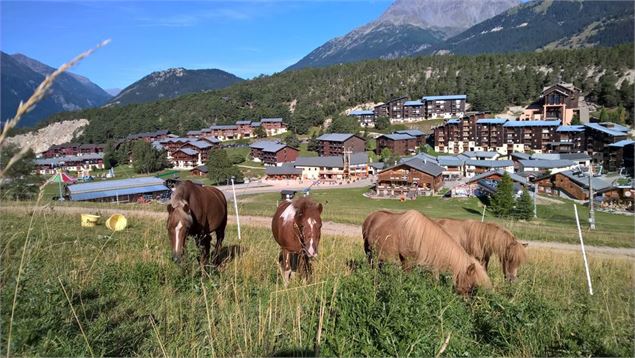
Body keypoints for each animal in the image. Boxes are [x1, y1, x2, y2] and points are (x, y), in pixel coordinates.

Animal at [362, 208, 492, 296]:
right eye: (470, 286)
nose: (466, 303)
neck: (420, 237)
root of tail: (370, 217)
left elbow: (435, 280)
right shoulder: (406, 262)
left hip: (379, 256)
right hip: (369, 253)